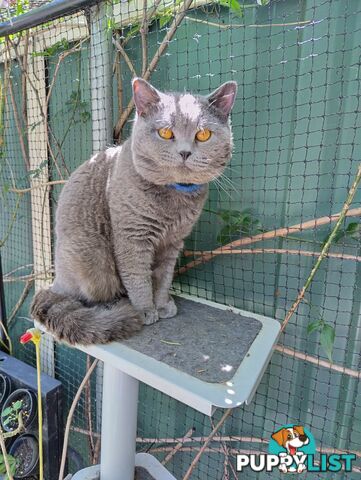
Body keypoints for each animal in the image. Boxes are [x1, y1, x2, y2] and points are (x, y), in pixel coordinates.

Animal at [31, 77, 236, 344]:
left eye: (203, 134)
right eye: (165, 132)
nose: (184, 152)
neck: (174, 202)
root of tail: (55, 282)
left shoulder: (173, 243)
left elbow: (163, 278)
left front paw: (162, 304)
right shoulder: (132, 237)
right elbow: (138, 277)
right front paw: (145, 309)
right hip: (92, 257)